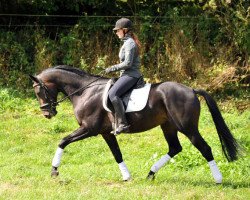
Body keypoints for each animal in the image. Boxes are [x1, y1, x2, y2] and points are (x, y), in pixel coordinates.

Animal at [29, 65, 240, 183]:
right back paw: (150, 174)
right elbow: (117, 154)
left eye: (38, 91)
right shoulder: (106, 132)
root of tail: (191, 89)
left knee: (205, 148)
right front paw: (127, 177)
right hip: (168, 126)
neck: (84, 91)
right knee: (175, 148)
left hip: (187, 128)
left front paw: (54, 171)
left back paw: (218, 180)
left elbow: (63, 141)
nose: (47, 113)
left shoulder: (89, 129)